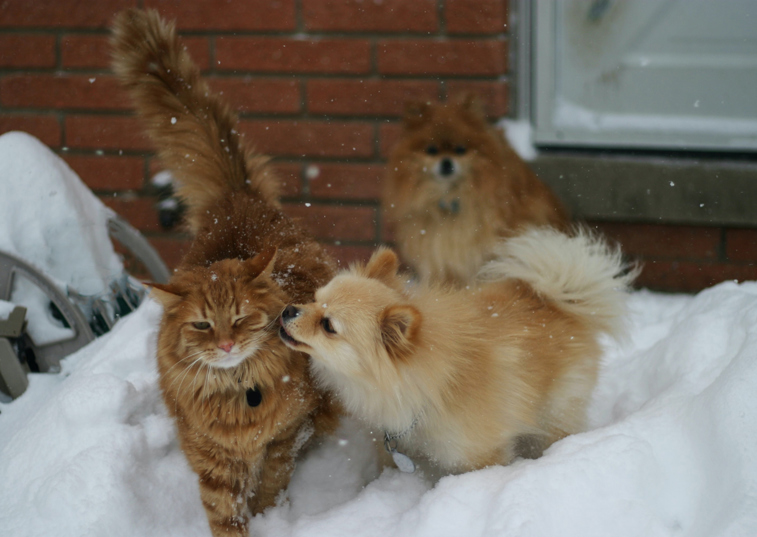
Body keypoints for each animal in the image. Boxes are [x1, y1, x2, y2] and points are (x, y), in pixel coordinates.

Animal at [110, 9, 338, 536]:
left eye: (240, 318)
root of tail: (236, 197)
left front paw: (269, 514)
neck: (239, 395)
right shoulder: (210, 457)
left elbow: (271, 481)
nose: (227, 345)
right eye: (201, 325)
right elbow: (226, 513)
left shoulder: (289, 433)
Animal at [278, 226, 632, 474]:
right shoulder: (393, 444)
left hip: (555, 413)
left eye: (328, 325)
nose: (287, 310)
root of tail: (557, 300)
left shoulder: (480, 454)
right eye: (314, 299)